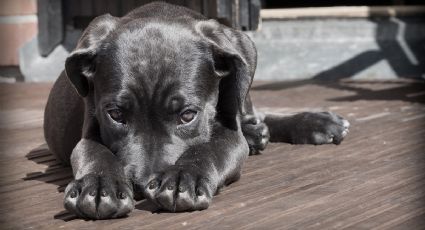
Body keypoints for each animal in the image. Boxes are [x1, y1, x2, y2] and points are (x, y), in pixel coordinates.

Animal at [43, 1, 348, 220]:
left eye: (187, 115)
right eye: (115, 115)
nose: (142, 186)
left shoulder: (229, 133)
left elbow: (210, 148)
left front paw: (182, 178)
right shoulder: (90, 128)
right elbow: (94, 152)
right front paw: (98, 186)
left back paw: (313, 123)